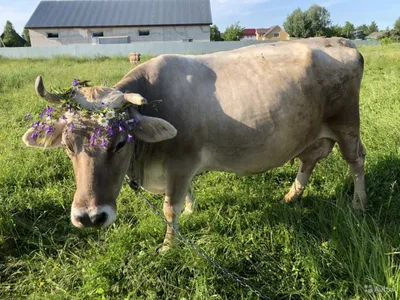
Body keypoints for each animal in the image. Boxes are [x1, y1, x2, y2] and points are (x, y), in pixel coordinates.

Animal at [21, 38, 366, 252]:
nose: (91, 217)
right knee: (309, 159)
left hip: (346, 123)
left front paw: (167, 246)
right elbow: (185, 195)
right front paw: (190, 210)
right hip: (312, 131)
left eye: (120, 143)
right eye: (68, 146)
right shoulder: (181, 167)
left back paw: (358, 204)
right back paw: (292, 195)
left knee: (356, 160)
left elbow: (168, 208)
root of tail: (340, 41)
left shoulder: (181, 162)